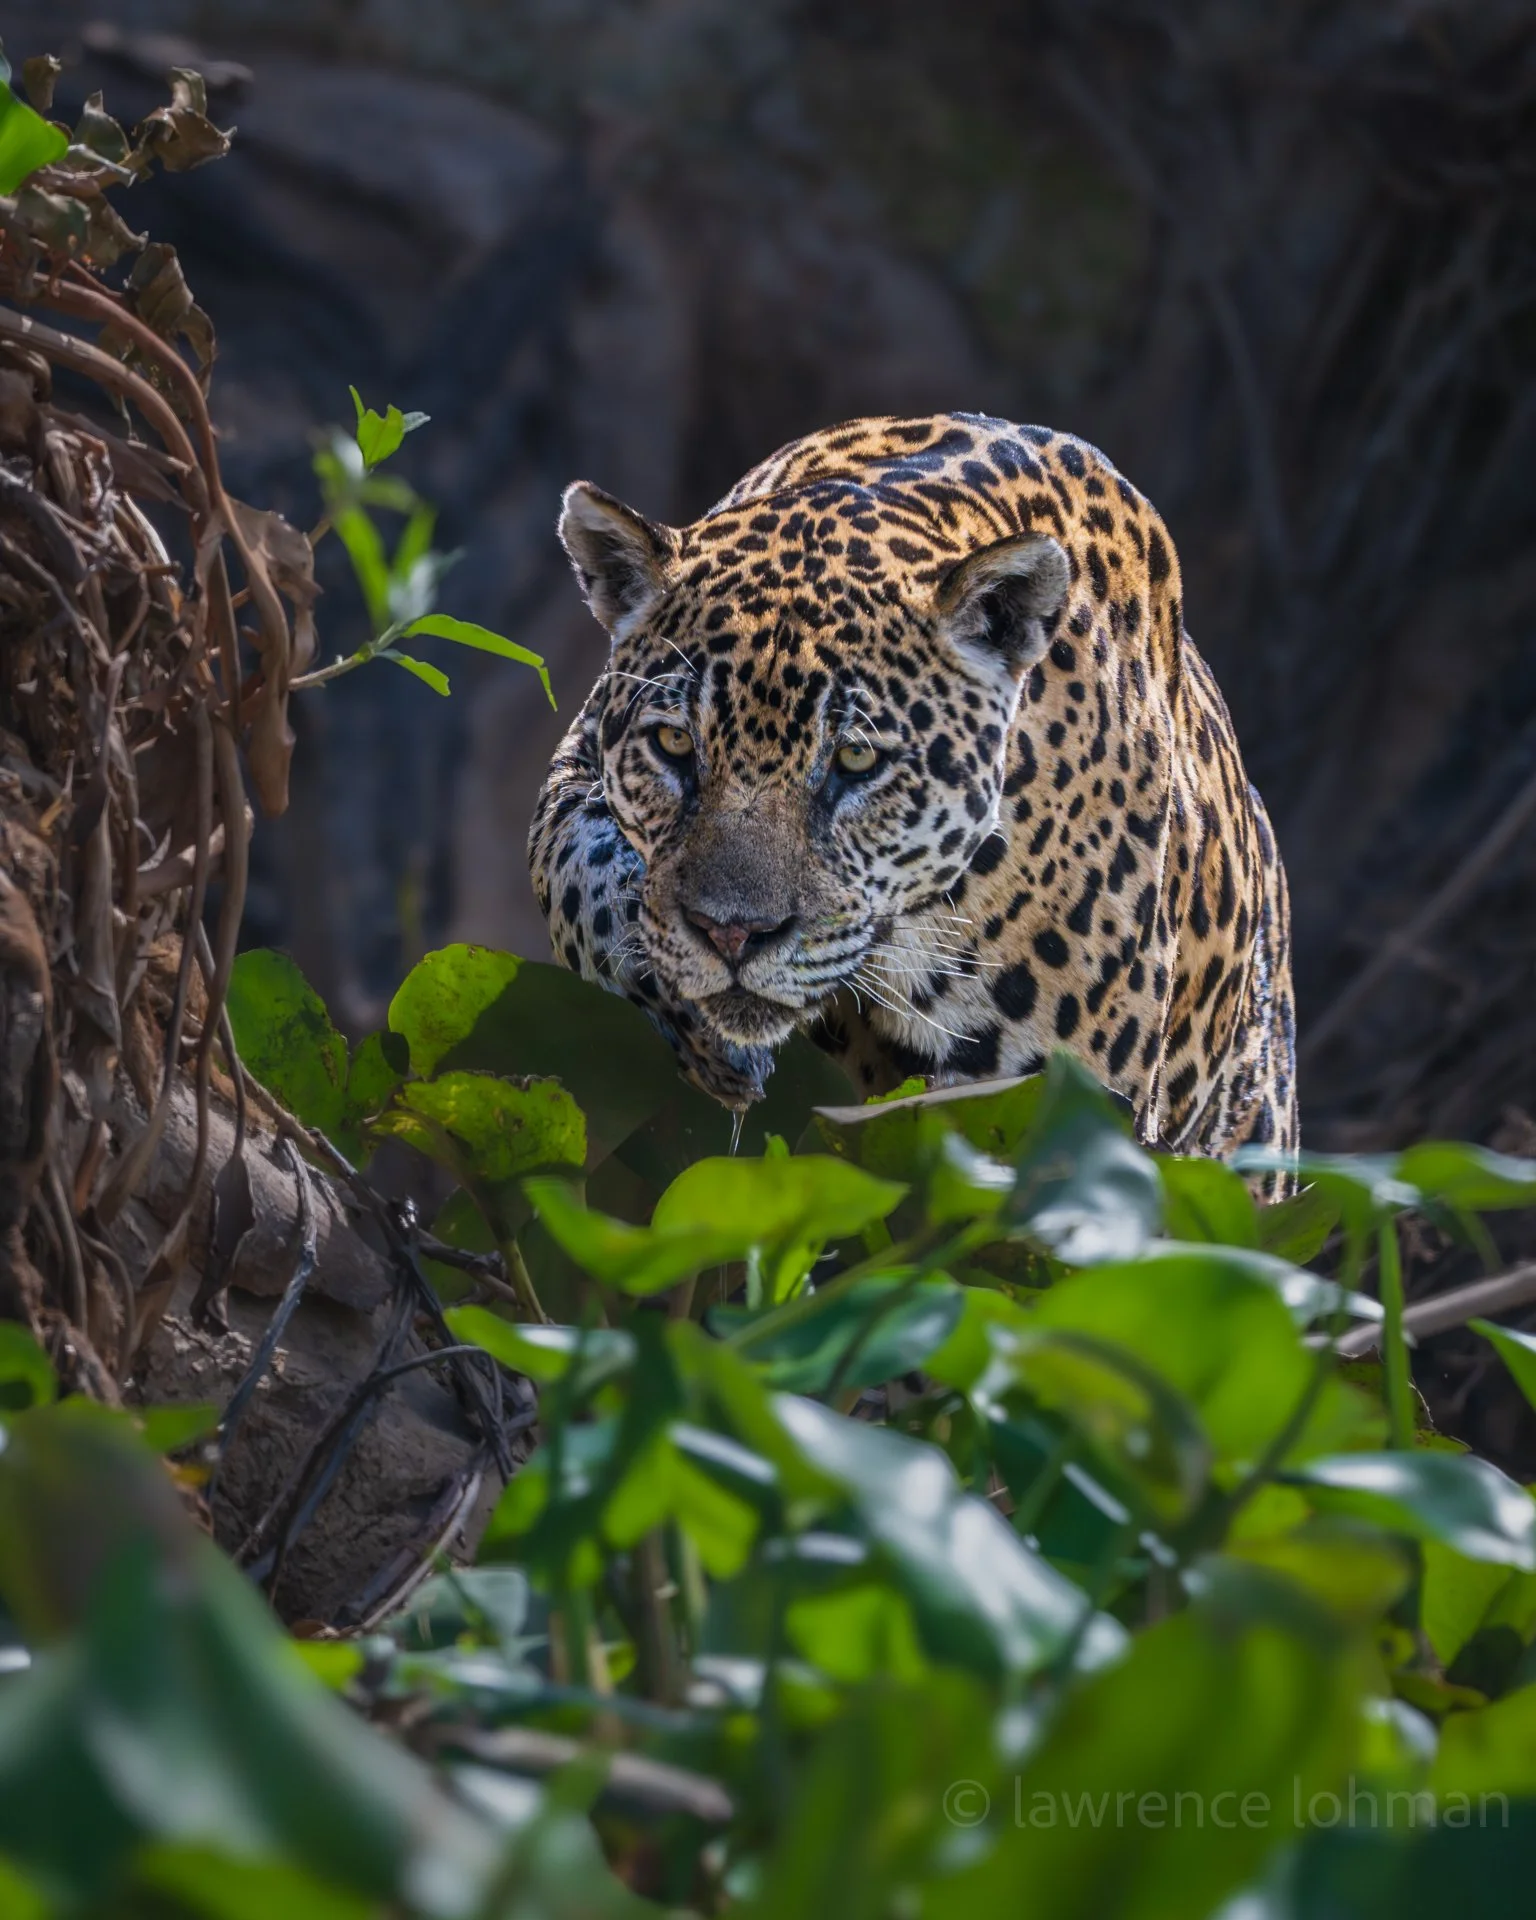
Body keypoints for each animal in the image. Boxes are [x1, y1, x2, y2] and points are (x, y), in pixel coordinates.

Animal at [528, 412, 1297, 1168]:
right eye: (675, 745)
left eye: (856, 759)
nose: (732, 935)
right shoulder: (578, 765)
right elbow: (578, 870)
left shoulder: (1051, 1113)